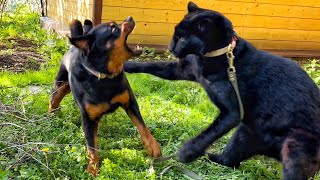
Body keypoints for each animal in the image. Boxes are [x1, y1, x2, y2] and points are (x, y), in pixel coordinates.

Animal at [49, 17, 161, 176]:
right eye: (113, 28)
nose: (129, 18)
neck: (104, 77)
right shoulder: (88, 120)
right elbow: (91, 147)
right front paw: (93, 167)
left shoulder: (130, 103)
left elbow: (142, 126)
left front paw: (153, 146)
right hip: (60, 86)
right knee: (53, 101)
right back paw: (50, 116)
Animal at [124, 1, 320, 180]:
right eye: (175, 33)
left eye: (183, 37)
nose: (170, 47)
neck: (214, 57)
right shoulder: (185, 69)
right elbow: (153, 65)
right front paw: (126, 66)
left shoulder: (231, 112)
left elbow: (208, 134)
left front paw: (187, 152)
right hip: (243, 135)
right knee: (230, 160)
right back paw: (209, 158)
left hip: (293, 148)